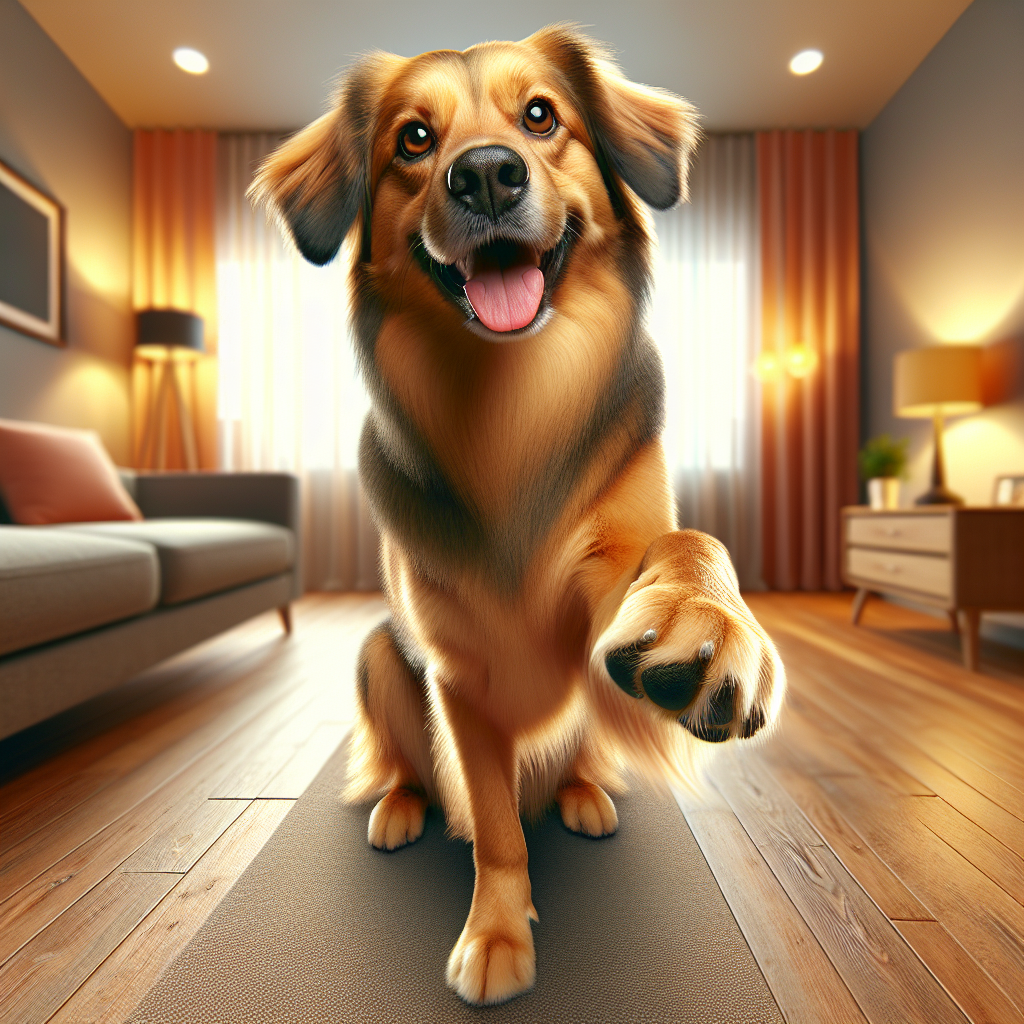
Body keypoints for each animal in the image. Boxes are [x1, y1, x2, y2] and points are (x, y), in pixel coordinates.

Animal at [253, 25, 782, 1007]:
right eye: (414, 140)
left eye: (540, 116)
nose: (488, 175)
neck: (512, 404)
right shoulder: (457, 676)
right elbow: (496, 826)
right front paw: (497, 935)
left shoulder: (607, 582)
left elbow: (684, 546)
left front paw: (705, 624)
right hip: (379, 657)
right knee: (401, 762)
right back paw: (399, 809)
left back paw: (582, 794)